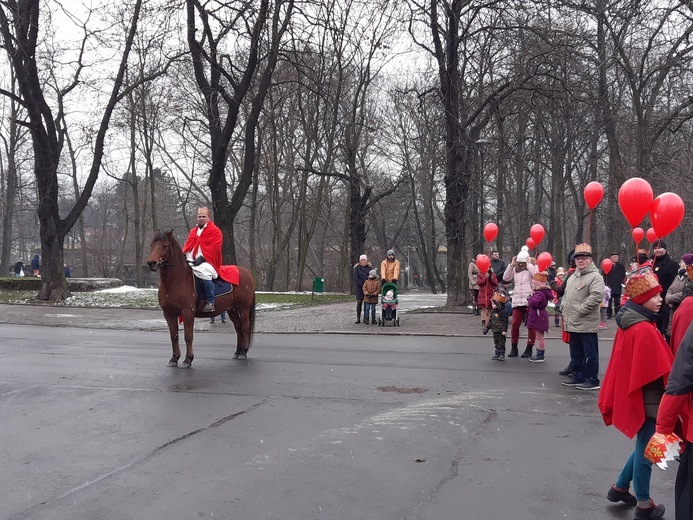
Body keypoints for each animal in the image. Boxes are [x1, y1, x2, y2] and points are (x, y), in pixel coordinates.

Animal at [147, 230, 256, 368]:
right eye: (151, 245)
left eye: (165, 246)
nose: (151, 263)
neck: (175, 280)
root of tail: (246, 271)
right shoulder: (168, 313)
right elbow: (174, 336)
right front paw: (174, 358)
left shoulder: (188, 312)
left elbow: (188, 336)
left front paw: (188, 359)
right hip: (231, 308)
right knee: (238, 327)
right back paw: (237, 351)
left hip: (243, 307)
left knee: (245, 327)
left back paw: (243, 352)